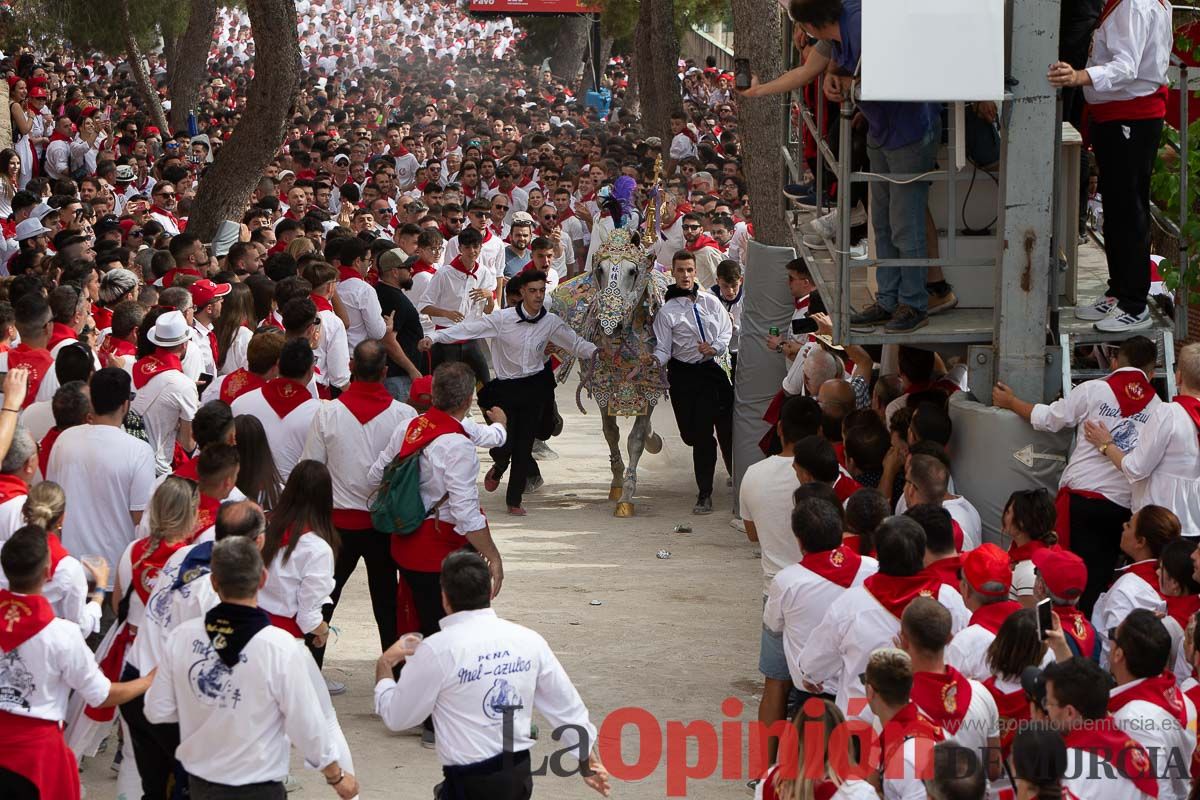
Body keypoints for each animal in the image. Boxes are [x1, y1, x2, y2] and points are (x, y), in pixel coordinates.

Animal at [549, 227, 667, 515]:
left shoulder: (650, 384)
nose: (608, 325)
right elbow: (610, 432)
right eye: (600, 269)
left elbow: (636, 438)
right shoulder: (602, 382)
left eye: (633, 271)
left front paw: (627, 497)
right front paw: (616, 483)